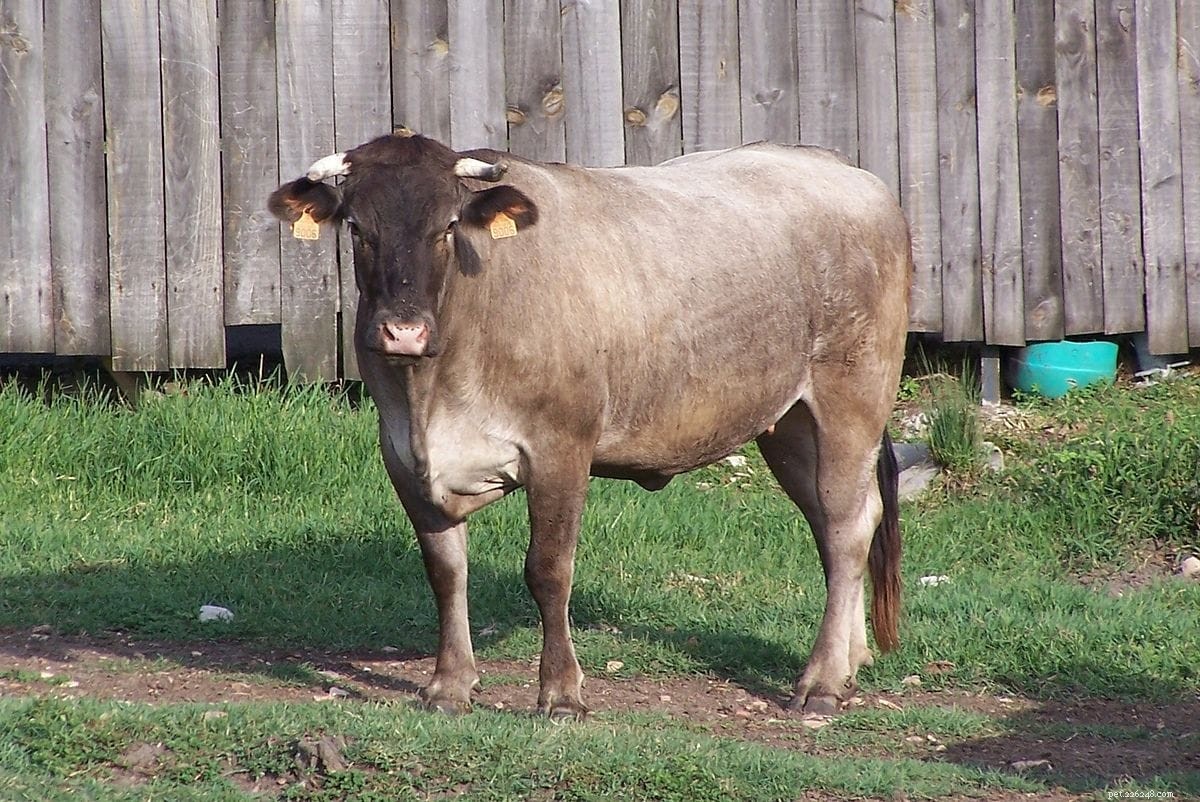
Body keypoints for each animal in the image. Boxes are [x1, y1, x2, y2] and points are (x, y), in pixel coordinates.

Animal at [269, 130, 911, 719]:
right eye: (357, 228)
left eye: (448, 227)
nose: (403, 332)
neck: (432, 395)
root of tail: (839, 166)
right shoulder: (402, 453)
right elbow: (446, 570)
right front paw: (448, 685)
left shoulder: (561, 447)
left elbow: (549, 570)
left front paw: (561, 693)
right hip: (790, 425)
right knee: (838, 524)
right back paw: (850, 660)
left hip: (852, 399)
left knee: (849, 530)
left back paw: (821, 682)